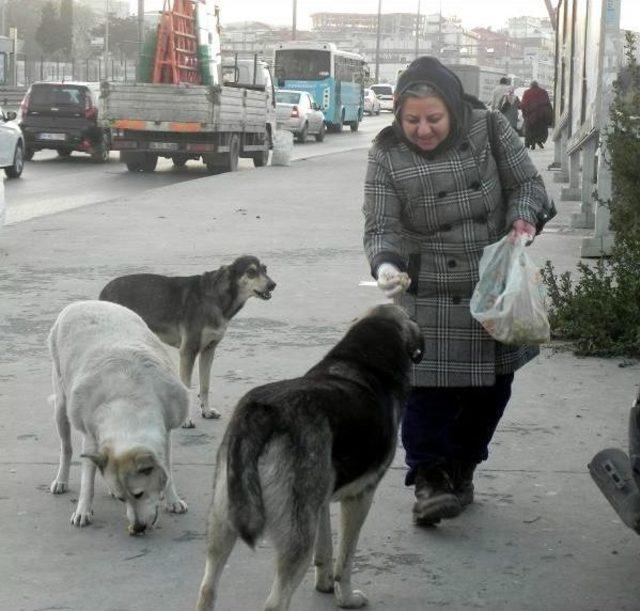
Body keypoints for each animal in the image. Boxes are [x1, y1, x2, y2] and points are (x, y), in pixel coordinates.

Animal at [47, 302, 189, 536]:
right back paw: (61, 480)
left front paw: (172, 499)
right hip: (61, 407)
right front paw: (83, 509)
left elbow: (167, 468)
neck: (129, 403)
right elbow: (87, 481)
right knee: (66, 448)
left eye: (139, 494)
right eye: (124, 499)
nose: (138, 528)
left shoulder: (167, 431)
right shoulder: (90, 437)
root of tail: (80, 302)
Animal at [100, 256, 276, 428]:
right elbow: (187, 387)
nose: (273, 285)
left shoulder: (208, 351)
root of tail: (105, 290)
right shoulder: (188, 351)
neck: (215, 297)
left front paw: (207, 412)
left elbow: (205, 386)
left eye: (265, 269)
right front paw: (186, 420)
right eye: (251, 272)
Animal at [196, 304, 424, 608]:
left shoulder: (320, 504)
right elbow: (344, 562)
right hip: (296, 537)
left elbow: (325, 551)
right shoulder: (360, 498)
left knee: (207, 588)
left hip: (224, 519)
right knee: (275, 602)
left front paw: (325, 585)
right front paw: (345, 598)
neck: (361, 362)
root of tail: (261, 412)